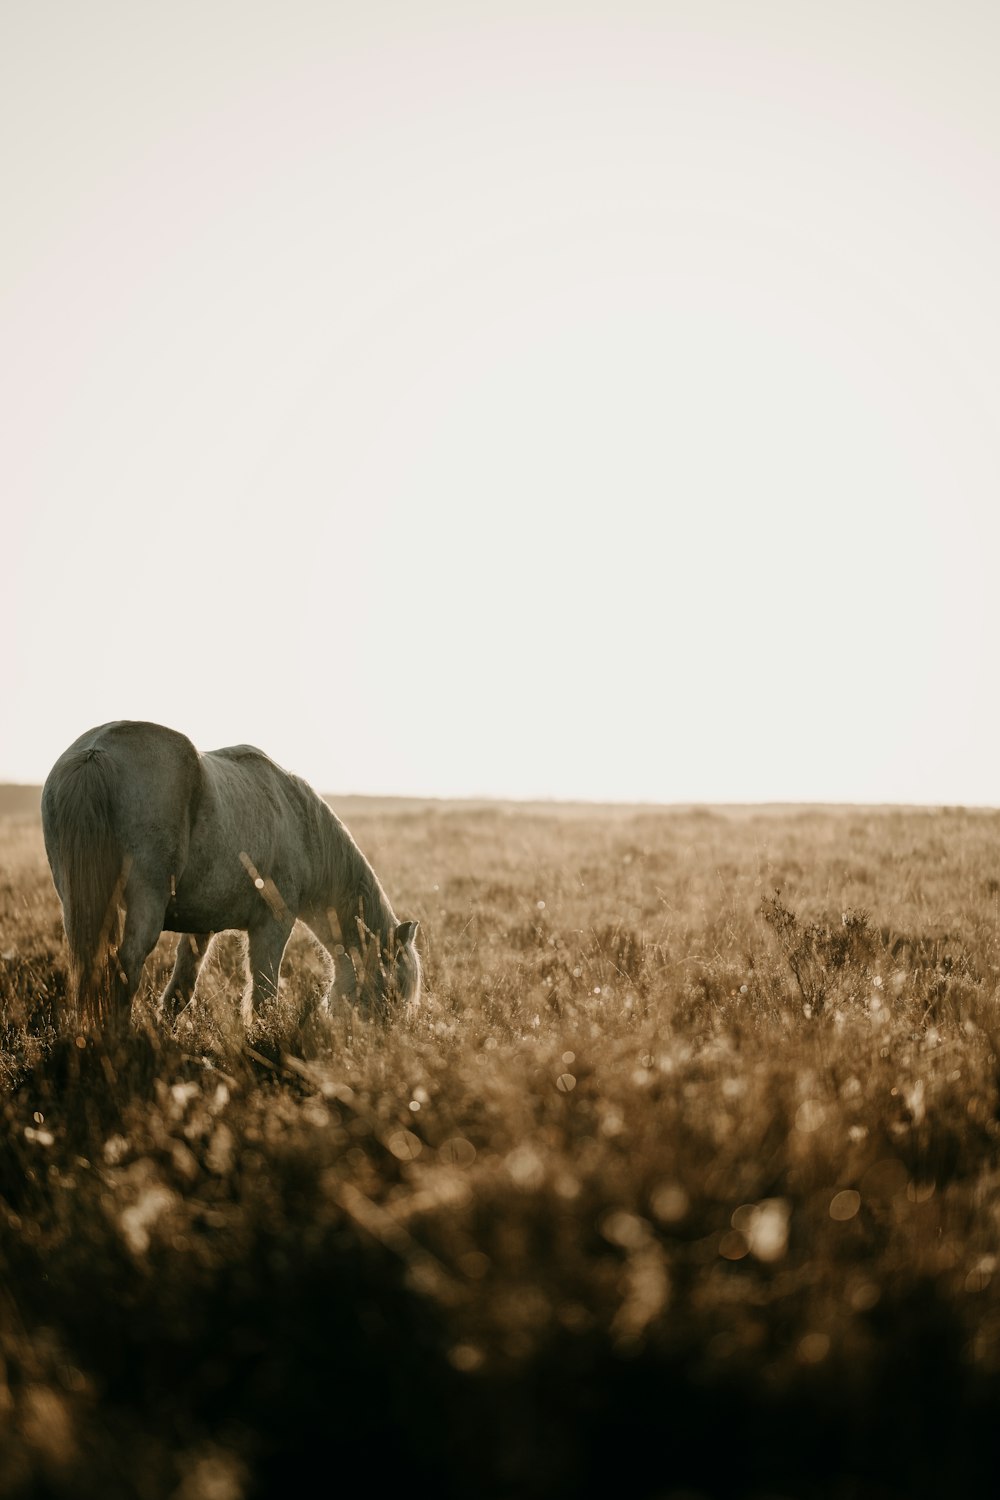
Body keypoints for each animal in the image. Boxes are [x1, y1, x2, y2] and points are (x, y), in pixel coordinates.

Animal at [40, 723, 419, 1032]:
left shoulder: (201, 927)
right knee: (126, 967)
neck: (299, 821)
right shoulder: (273, 925)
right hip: (145, 902)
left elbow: (181, 989)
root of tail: (95, 752)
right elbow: (264, 992)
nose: (387, 1041)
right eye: (393, 989)